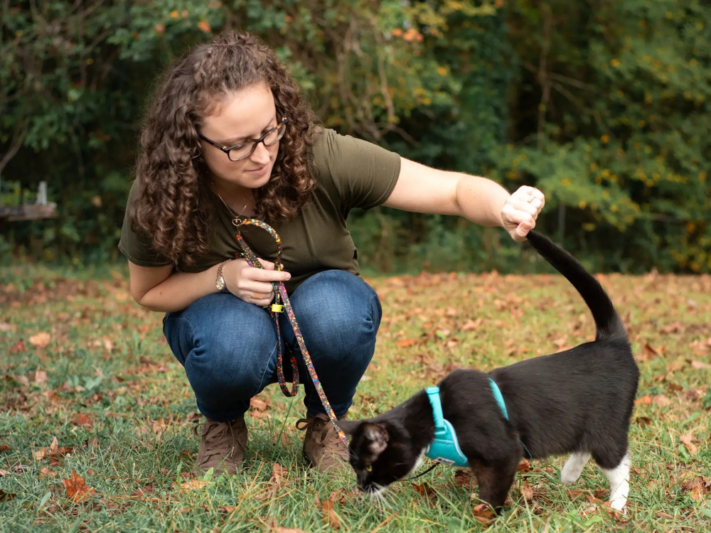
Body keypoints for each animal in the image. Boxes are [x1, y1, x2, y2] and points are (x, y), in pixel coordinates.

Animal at [340, 231, 640, 512]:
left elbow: (493, 489)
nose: (360, 486)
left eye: (368, 467)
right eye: (353, 466)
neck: (437, 415)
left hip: (608, 424)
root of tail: (611, 340)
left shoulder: (502, 452)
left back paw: (615, 505)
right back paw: (570, 474)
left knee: (617, 464)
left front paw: (482, 515)